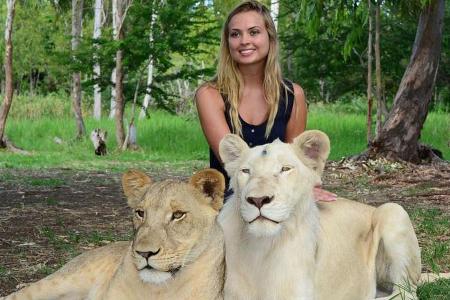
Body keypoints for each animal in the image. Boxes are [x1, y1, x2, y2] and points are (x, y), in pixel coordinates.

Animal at [220, 131, 424, 300]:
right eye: (246, 171)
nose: (258, 200)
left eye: (285, 169)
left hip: (393, 210)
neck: (261, 248)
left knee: (406, 293)